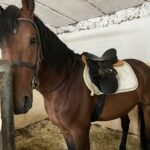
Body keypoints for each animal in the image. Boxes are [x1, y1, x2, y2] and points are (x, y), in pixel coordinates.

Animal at [0, 0, 148, 149]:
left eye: (33, 40)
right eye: (2, 45)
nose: (19, 102)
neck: (64, 82)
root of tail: (143, 66)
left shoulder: (80, 131)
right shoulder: (65, 130)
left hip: (147, 107)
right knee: (126, 123)